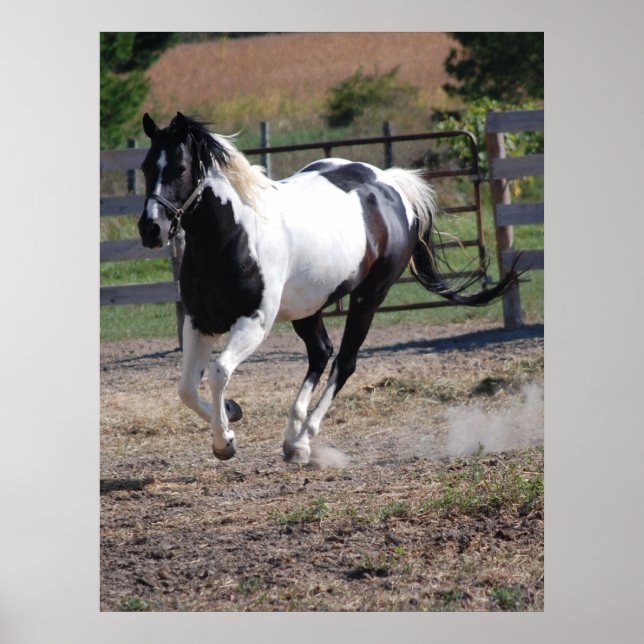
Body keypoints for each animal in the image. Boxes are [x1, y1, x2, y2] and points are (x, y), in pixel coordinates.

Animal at [137, 112, 521, 464]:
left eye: (180, 168)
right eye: (144, 167)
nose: (150, 229)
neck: (233, 236)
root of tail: (390, 184)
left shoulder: (254, 322)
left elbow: (218, 373)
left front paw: (225, 442)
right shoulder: (199, 321)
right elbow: (186, 389)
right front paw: (232, 413)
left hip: (369, 297)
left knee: (344, 362)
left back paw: (303, 441)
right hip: (309, 305)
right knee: (321, 352)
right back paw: (291, 436)